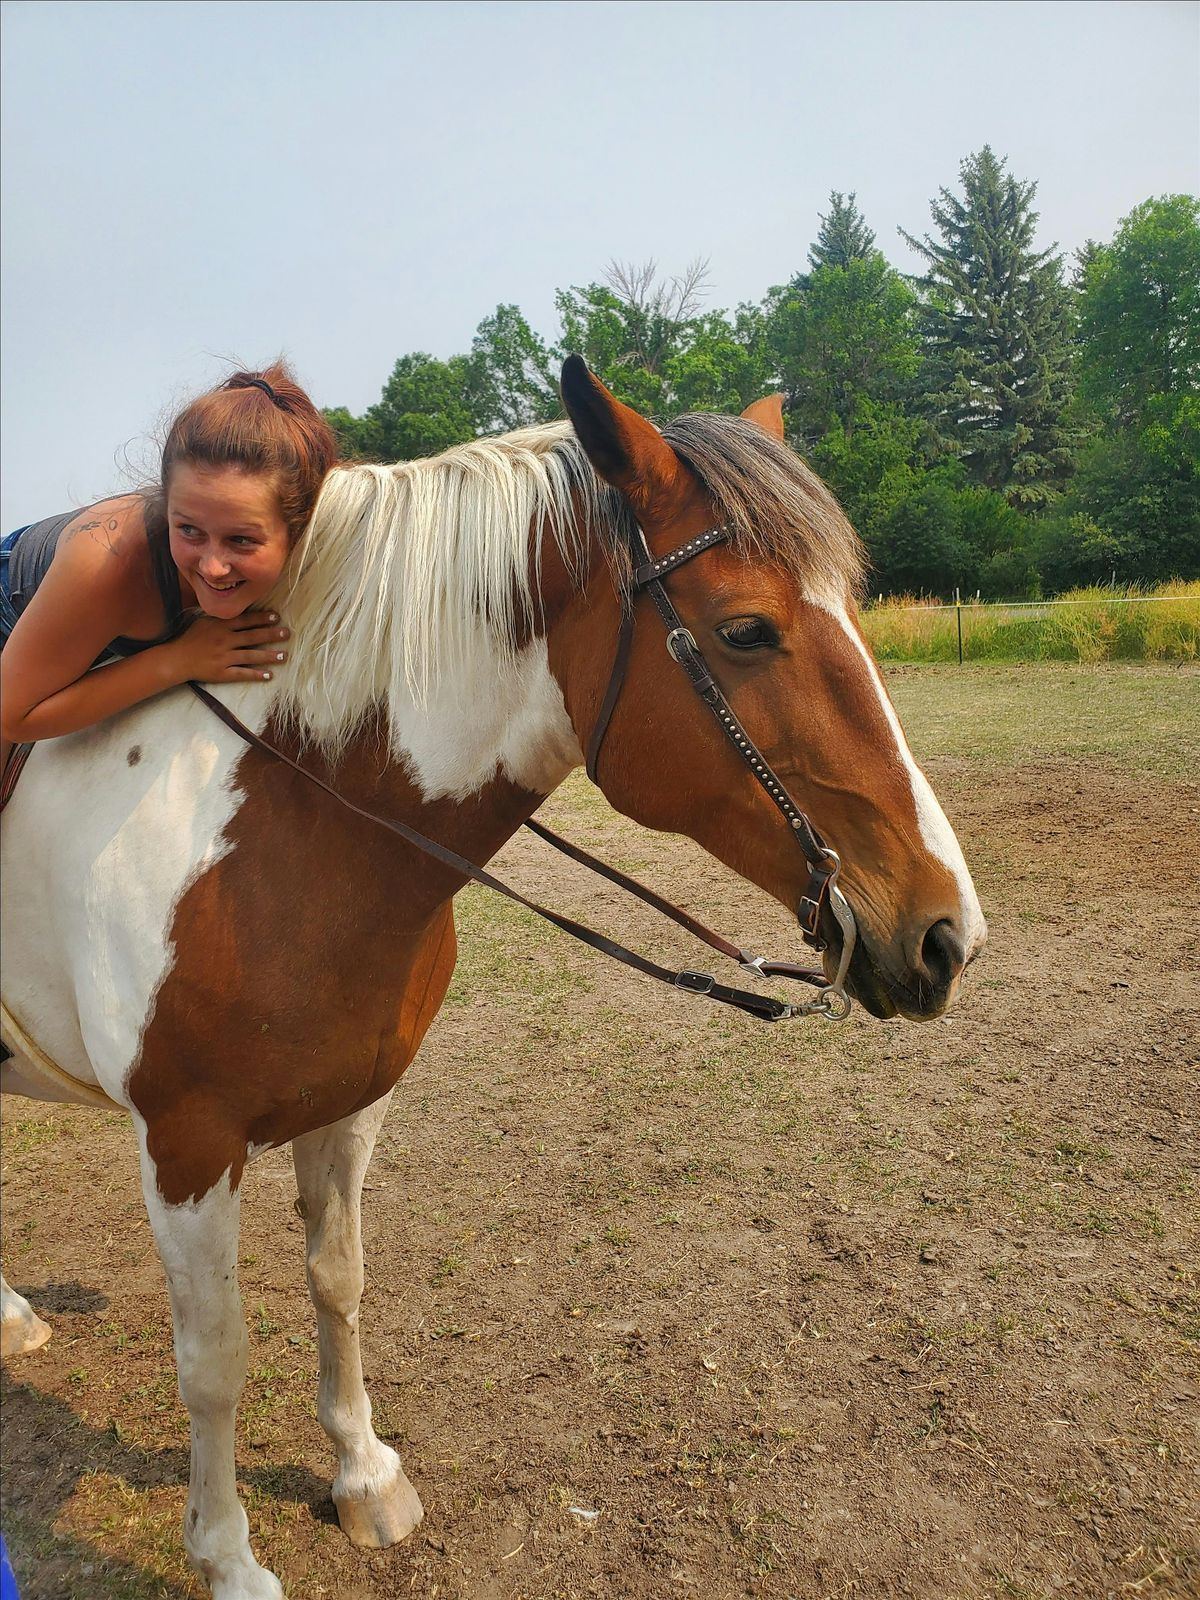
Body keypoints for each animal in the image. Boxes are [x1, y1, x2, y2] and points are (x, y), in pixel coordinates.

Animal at [0, 363, 985, 1600]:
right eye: (747, 629)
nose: (947, 934)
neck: (290, 815)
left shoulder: (349, 1104)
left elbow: (337, 1279)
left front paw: (364, 1474)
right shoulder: (186, 1145)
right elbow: (215, 1360)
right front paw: (228, 1557)